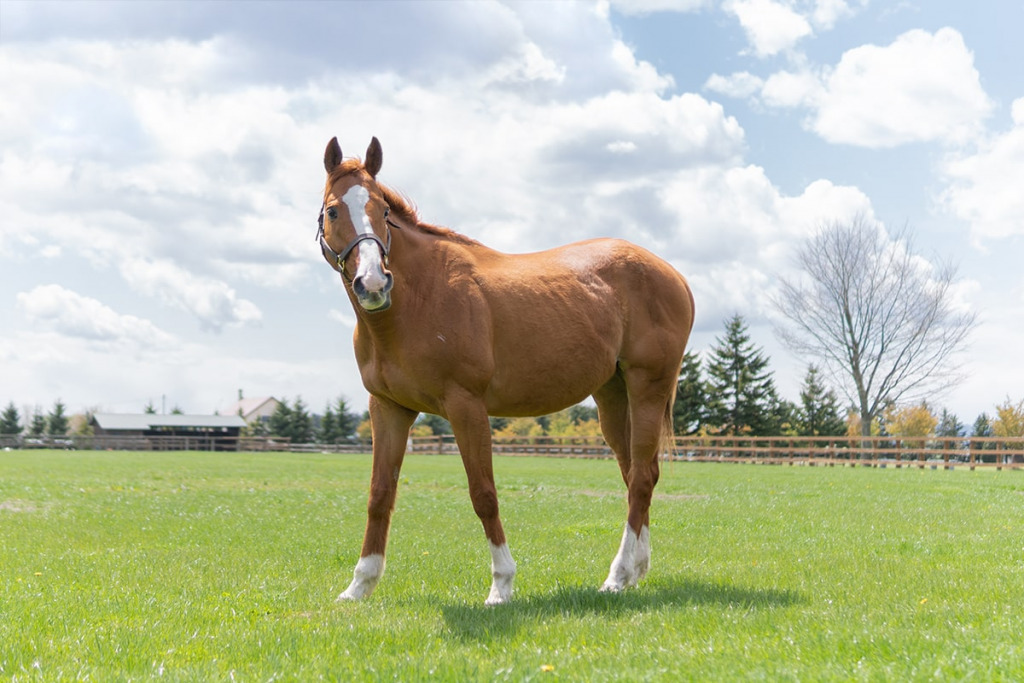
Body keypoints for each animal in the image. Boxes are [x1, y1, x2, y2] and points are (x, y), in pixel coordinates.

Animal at [317, 136, 696, 606]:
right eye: (334, 211)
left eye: (382, 211)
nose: (373, 283)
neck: (419, 297)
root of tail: (673, 275)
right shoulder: (388, 408)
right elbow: (379, 494)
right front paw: (359, 585)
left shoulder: (466, 407)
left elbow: (483, 494)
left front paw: (502, 584)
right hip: (613, 395)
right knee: (636, 476)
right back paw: (633, 572)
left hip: (648, 388)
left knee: (642, 478)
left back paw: (617, 575)